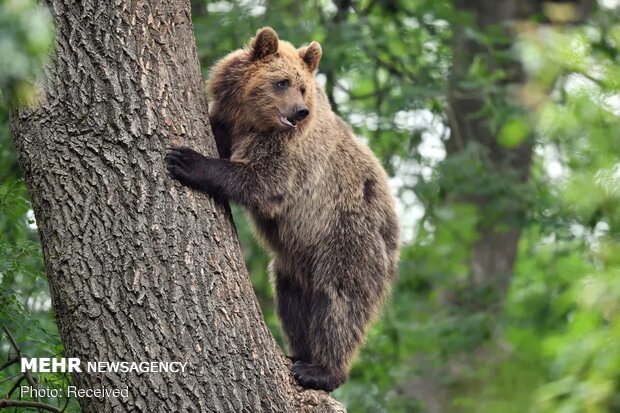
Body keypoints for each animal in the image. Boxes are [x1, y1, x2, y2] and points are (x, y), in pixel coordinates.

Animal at [165, 27, 400, 392]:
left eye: (301, 86)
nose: (299, 111)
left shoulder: (290, 154)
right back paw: (298, 353)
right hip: (295, 261)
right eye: (281, 82)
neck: (249, 120)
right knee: (292, 302)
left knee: (340, 301)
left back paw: (321, 371)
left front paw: (188, 160)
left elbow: (264, 182)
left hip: (347, 238)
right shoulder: (229, 123)